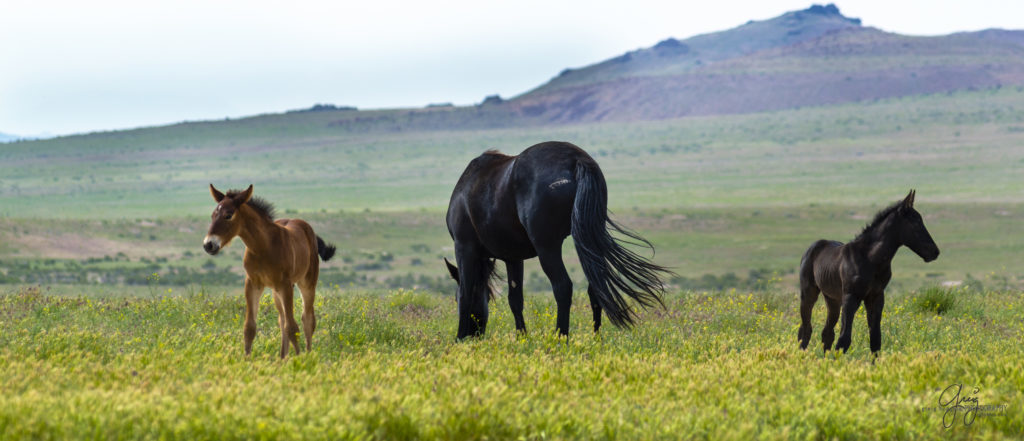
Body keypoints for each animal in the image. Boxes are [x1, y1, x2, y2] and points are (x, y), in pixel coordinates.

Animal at [203, 185, 335, 358]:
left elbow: (293, 327)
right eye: (212, 215)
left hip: (306, 283)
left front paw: (299, 360)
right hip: (276, 290)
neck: (263, 247)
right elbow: (249, 327)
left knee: (307, 319)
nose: (208, 245)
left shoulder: (285, 284)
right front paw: (246, 360)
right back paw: (283, 357)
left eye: (228, 215)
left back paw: (307, 353)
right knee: (282, 319)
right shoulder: (253, 284)